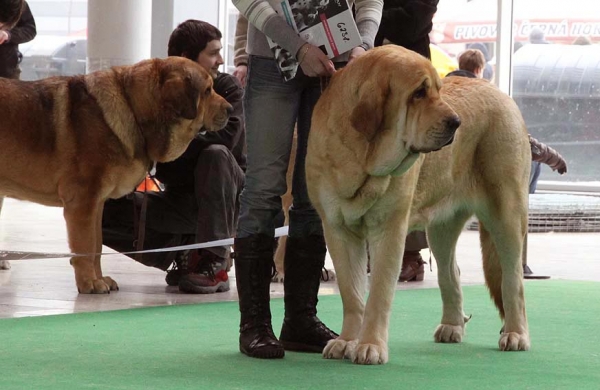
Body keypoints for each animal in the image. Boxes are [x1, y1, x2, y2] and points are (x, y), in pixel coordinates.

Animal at [0, 55, 232, 292]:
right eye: (207, 90)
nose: (231, 109)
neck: (133, 108)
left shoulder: (96, 205)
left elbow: (96, 247)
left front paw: (100, 279)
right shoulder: (83, 203)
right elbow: (85, 247)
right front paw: (89, 283)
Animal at [308, 46, 532, 366]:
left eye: (438, 89)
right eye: (418, 93)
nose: (456, 122)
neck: (361, 156)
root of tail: (502, 95)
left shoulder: (389, 229)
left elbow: (378, 293)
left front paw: (370, 346)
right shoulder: (337, 229)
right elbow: (352, 293)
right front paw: (347, 341)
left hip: (507, 214)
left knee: (513, 280)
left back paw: (515, 334)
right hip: (440, 229)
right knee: (450, 272)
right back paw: (452, 326)